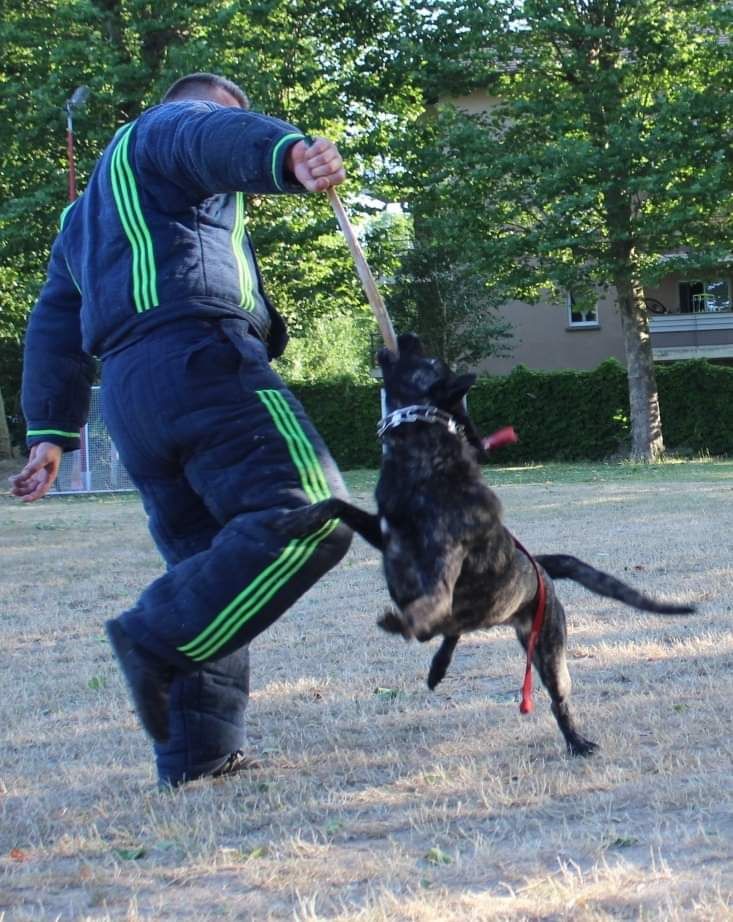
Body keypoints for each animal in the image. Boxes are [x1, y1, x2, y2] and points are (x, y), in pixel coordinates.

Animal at [278, 332, 694, 756]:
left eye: (429, 360)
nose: (409, 336)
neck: (424, 452)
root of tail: (539, 566)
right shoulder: (385, 535)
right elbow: (336, 504)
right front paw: (295, 521)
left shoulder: (442, 564)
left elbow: (428, 605)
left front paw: (403, 621)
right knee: (454, 629)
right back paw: (437, 668)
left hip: (548, 649)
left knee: (555, 697)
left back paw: (576, 741)